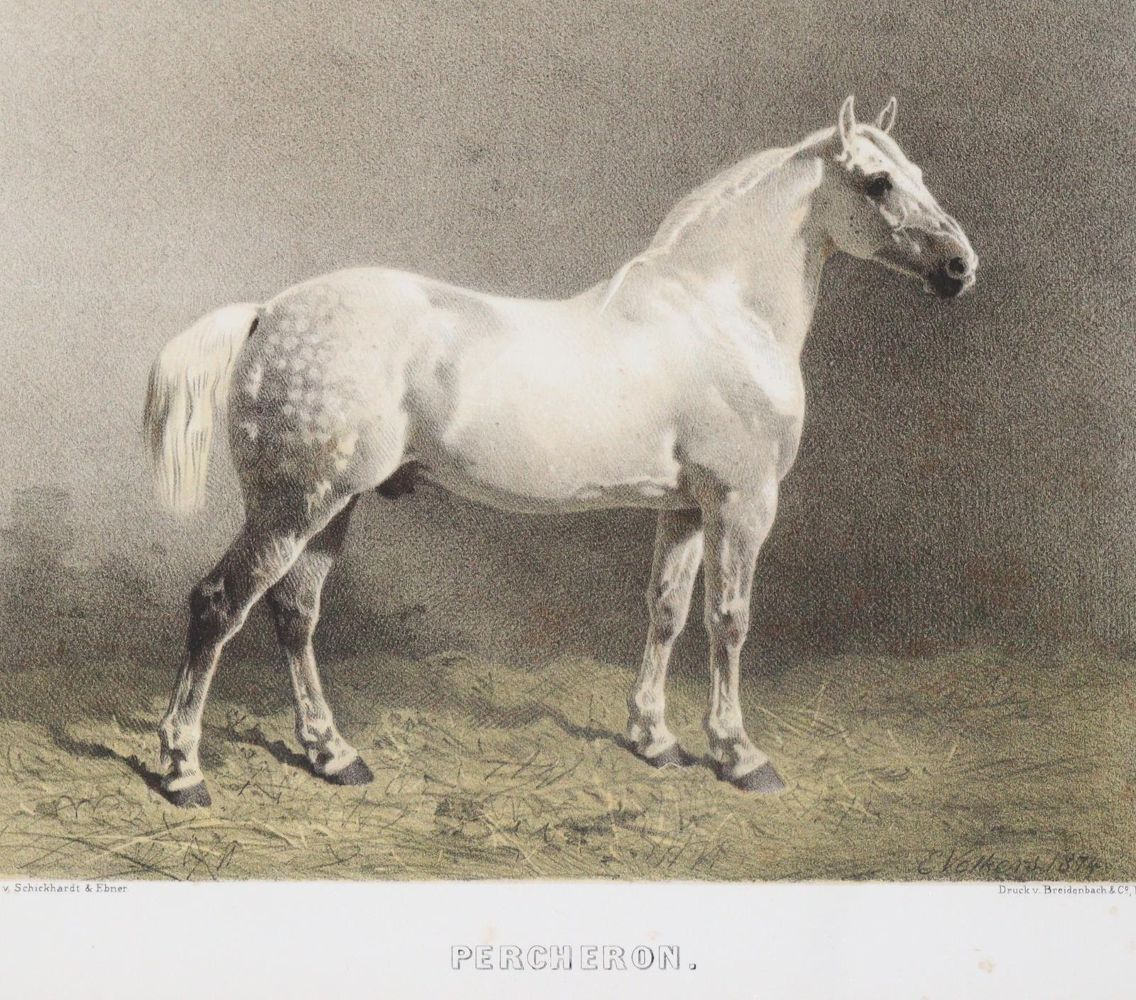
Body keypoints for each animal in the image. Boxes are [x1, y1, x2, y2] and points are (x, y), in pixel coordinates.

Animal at [144, 96, 977, 807]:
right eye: (877, 182)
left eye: (920, 173)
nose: (961, 267)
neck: (721, 313)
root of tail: (268, 312)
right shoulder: (742, 503)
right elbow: (728, 621)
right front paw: (740, 756)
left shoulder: (684, 509)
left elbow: (667, 612)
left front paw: (654, 739)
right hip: (292, 508)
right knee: (219, 606)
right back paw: (183, 771)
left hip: (333, 507)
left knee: (295, 613)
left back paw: (333, 754)